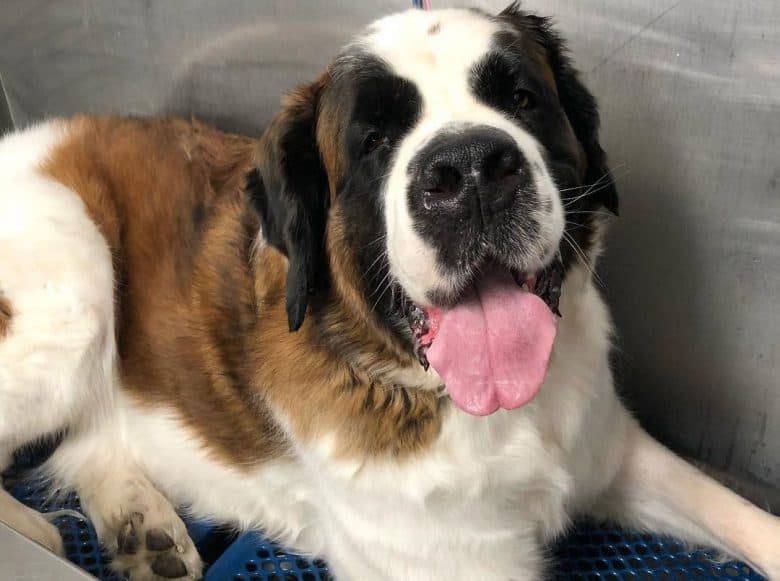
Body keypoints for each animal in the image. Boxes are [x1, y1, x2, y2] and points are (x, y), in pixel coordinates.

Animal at [1, 4, 780, 580]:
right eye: (374, 139)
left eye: (522, 99)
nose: (469, 170)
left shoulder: (613, 450)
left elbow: (746, 518)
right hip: (79, 282)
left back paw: (142, 528)